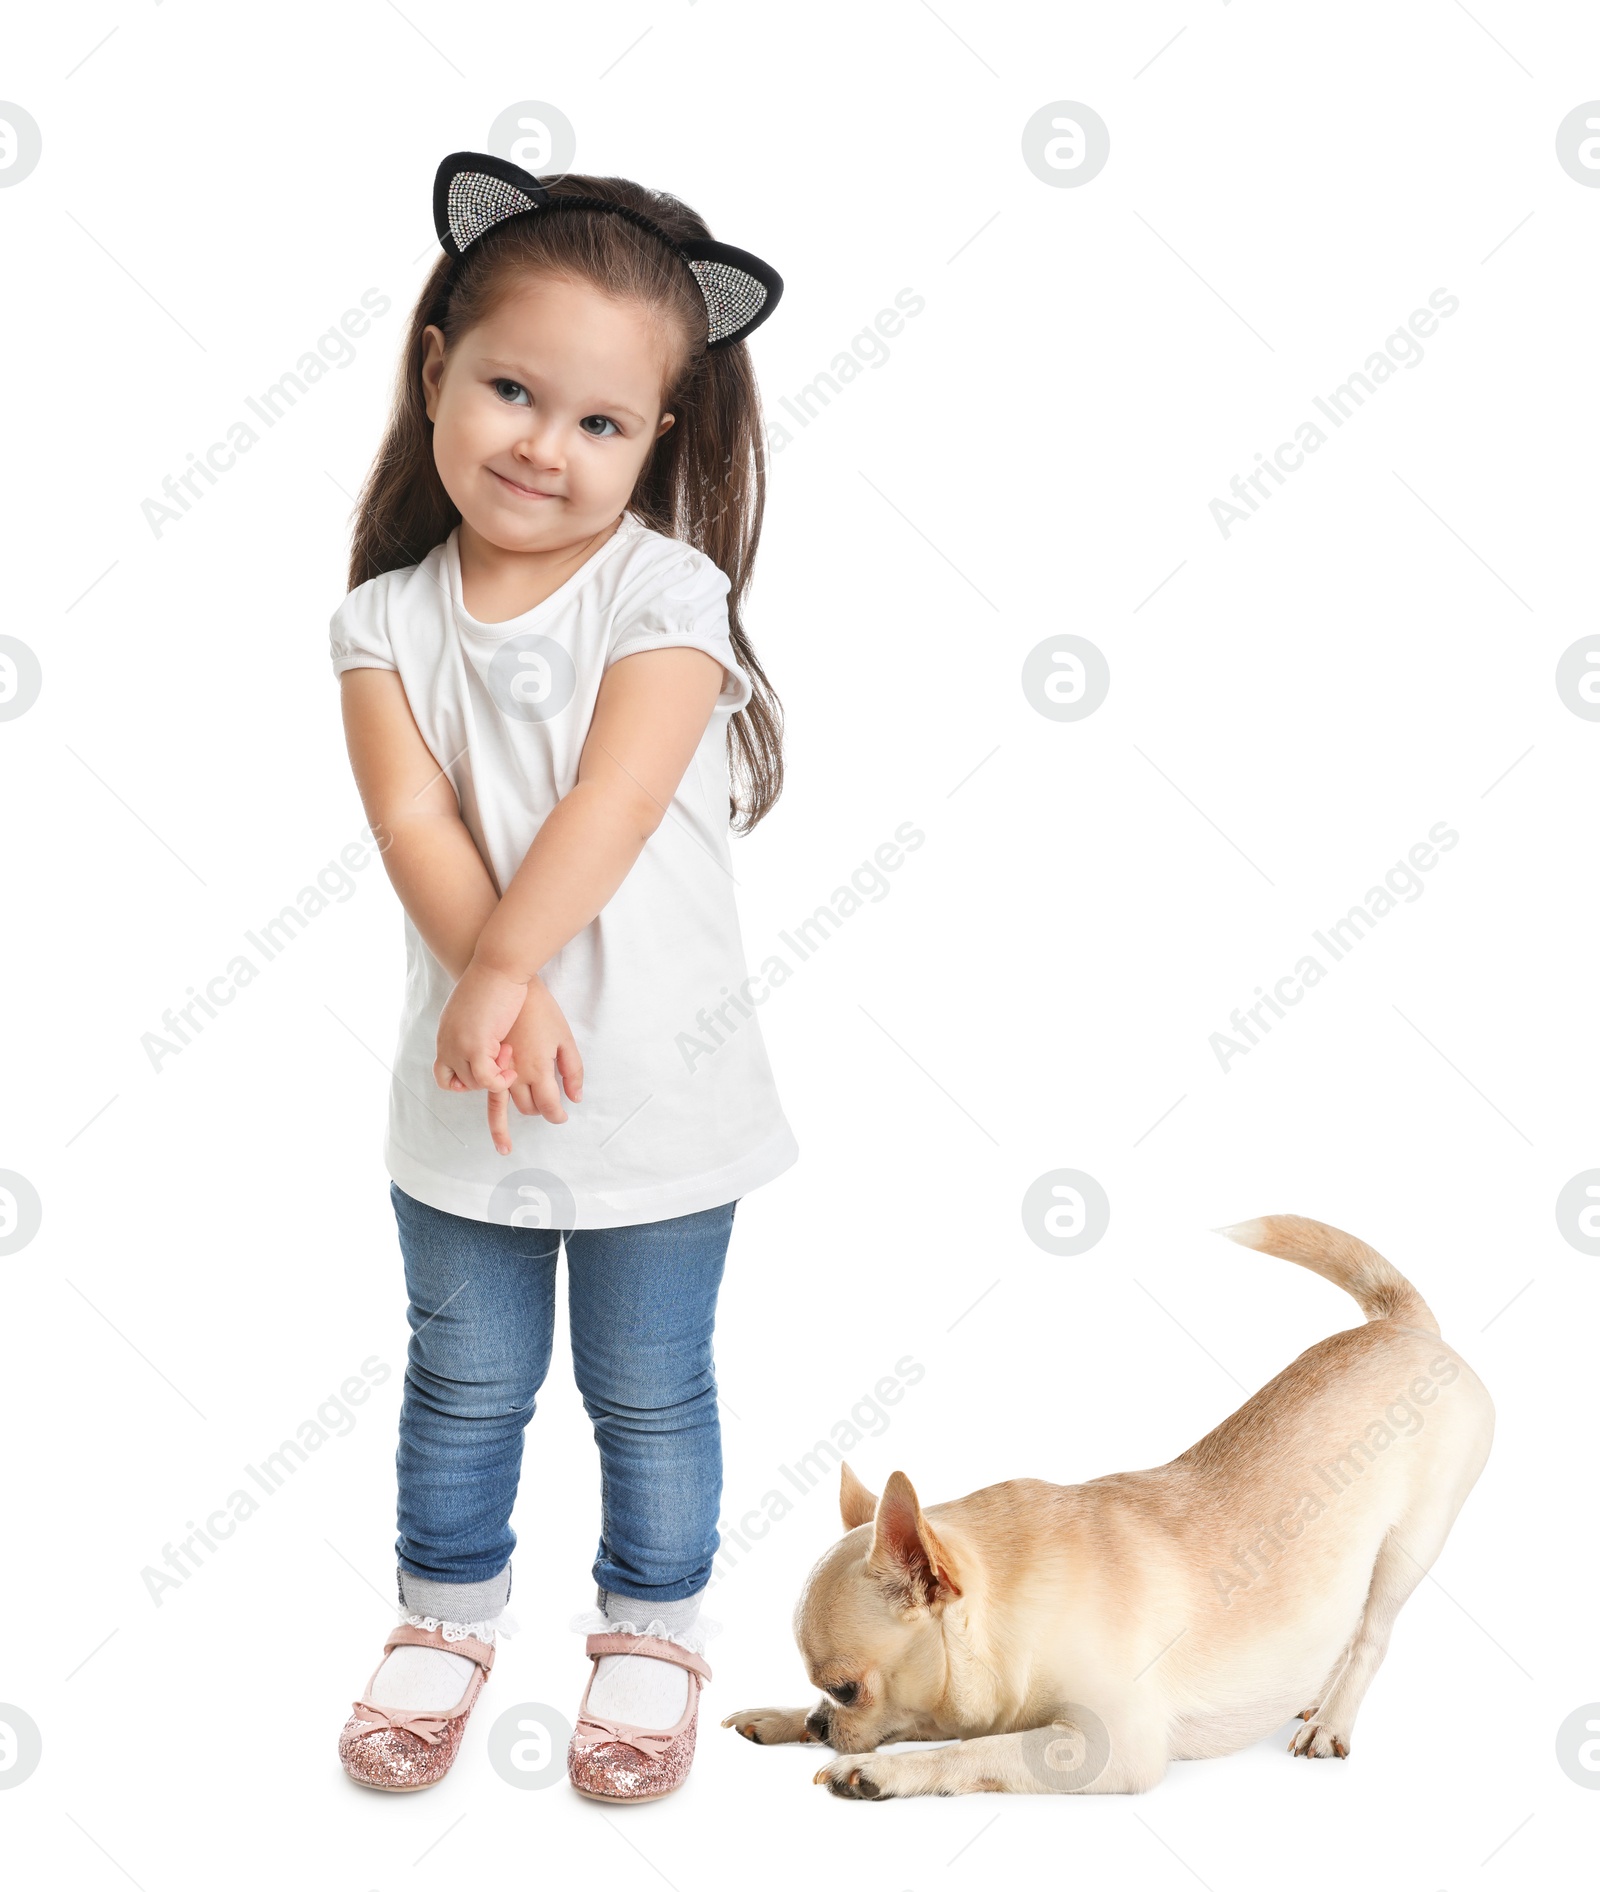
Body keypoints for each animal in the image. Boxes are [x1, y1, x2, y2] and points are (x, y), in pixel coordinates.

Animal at [718, 1218, 1497, 1793]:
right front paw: (781, 1718)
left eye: (846, 1689)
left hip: (1407, 1548)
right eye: (824, 1695)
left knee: (1372, 1633)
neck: (1007, 1609)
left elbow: (978, 1751)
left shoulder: (1108, 1747)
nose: (821, 1725)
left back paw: (1332, 1719)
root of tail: (1402, 1324)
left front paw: (876, 1771)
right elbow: (951, 1730)